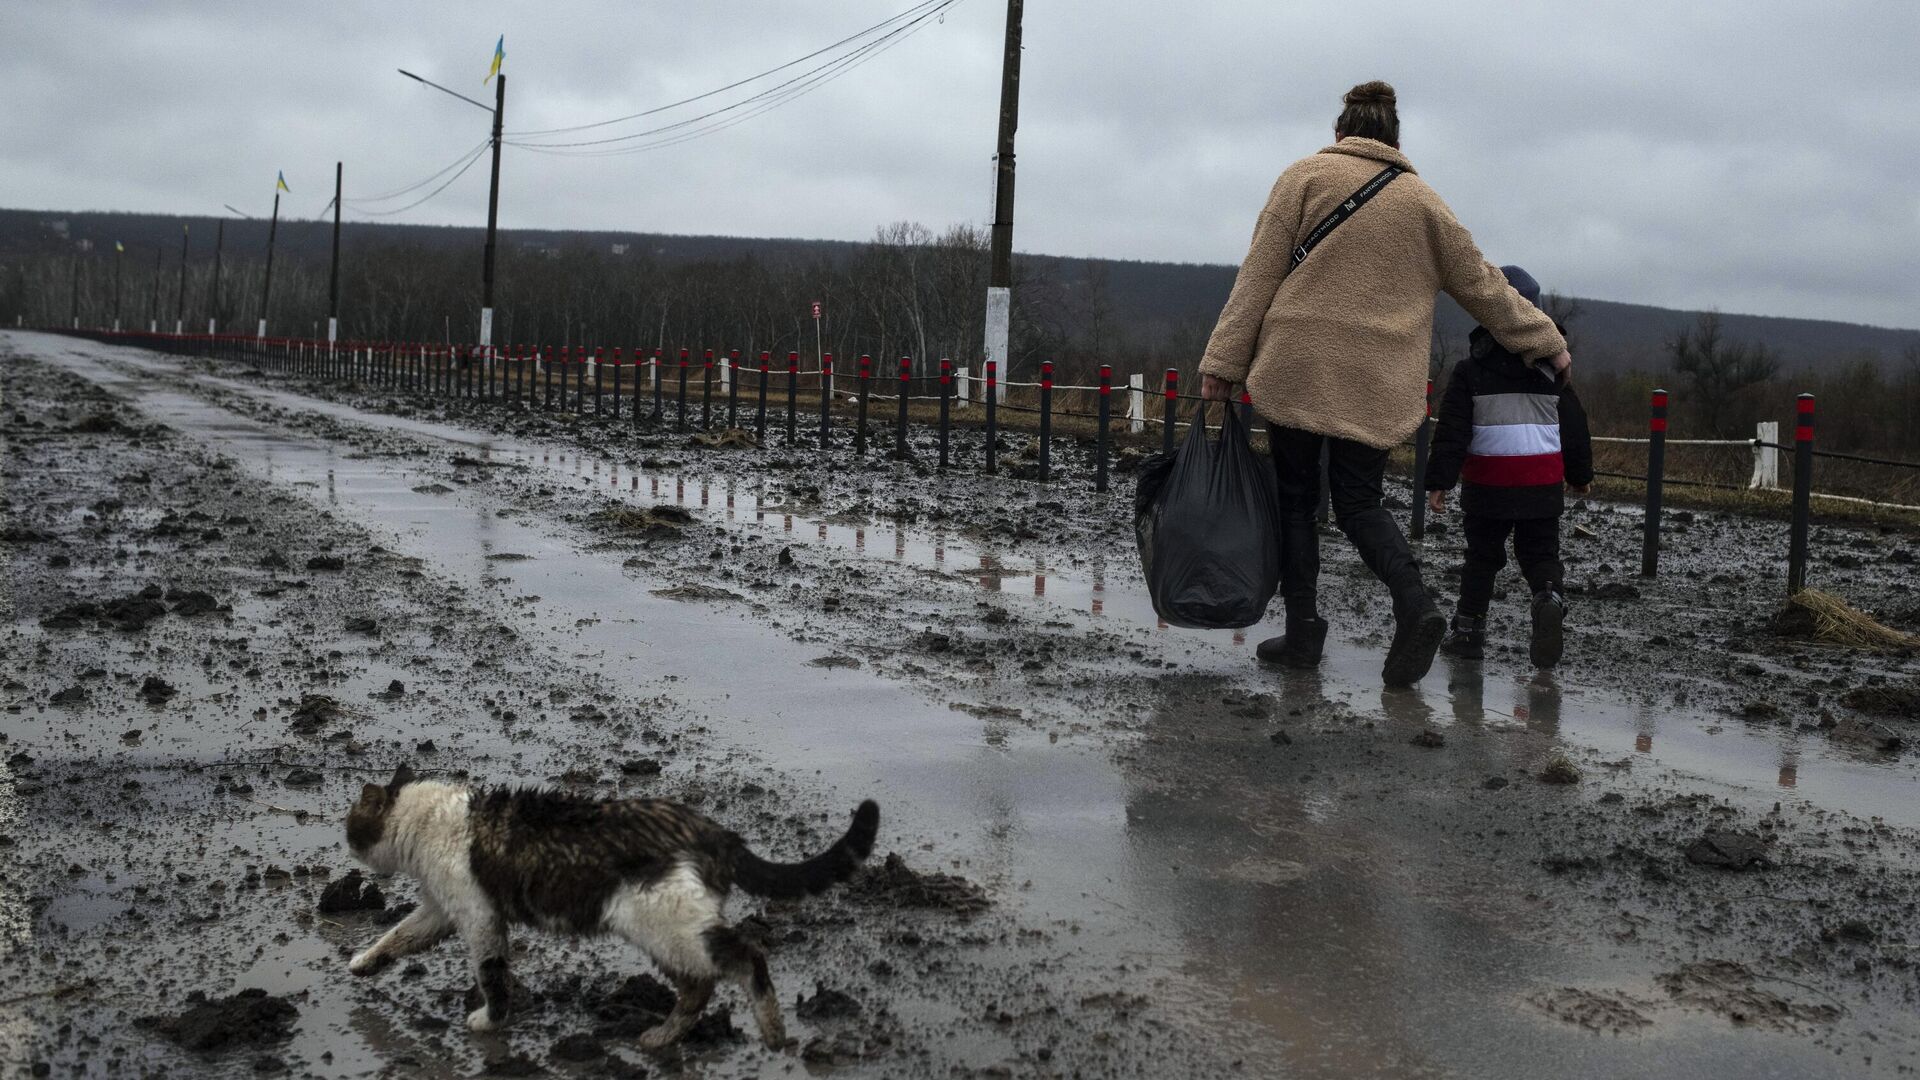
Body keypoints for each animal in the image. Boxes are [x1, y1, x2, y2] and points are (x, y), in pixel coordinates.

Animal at [345, 760, 883, 1045]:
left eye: (351, 823)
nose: (347, 842)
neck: (428, 819)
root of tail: (714, 831)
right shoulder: (441, 910)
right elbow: (399, 936)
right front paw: (365, 962)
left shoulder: (479, 917)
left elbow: (491, 974)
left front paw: (491, 1020)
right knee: (705, 981)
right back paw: (670, 1035)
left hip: (659, 920)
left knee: (736, 962)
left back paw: (754, 1030)